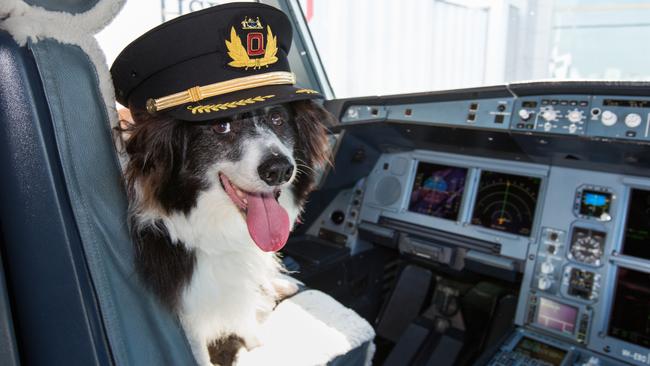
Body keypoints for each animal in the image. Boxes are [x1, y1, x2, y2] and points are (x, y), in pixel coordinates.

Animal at [117, 100, 330, 366]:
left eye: (278, 119)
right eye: (221, 126)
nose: (280, 170)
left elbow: (246, 320)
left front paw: (257, 346)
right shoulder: (189, 307)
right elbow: (200, 353)